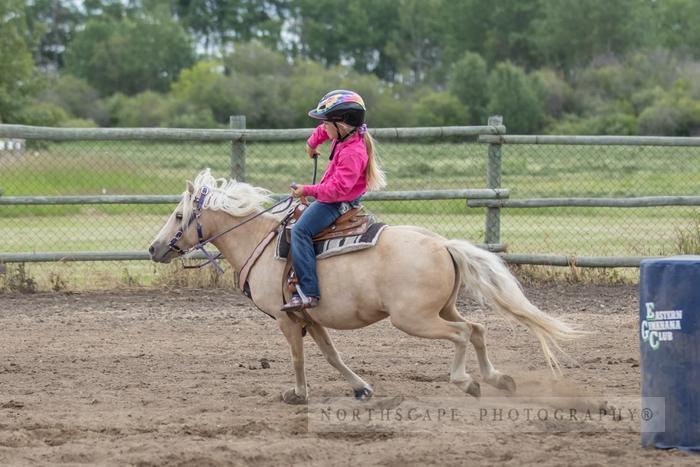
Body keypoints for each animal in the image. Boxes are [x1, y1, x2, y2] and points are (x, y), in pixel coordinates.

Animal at [150, 169, 584, 406]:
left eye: (179, 215)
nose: (154, 247)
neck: (258, 239)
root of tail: (444, 244)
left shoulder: (287, 320)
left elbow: (298, 359)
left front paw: (298, 394)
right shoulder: (309, 316)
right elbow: (332, 356)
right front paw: (361, 389)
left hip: (414, 319)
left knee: (462, 333)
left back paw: (466, 381)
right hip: (442, 308)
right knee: (477, 329)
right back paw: (498, 379)